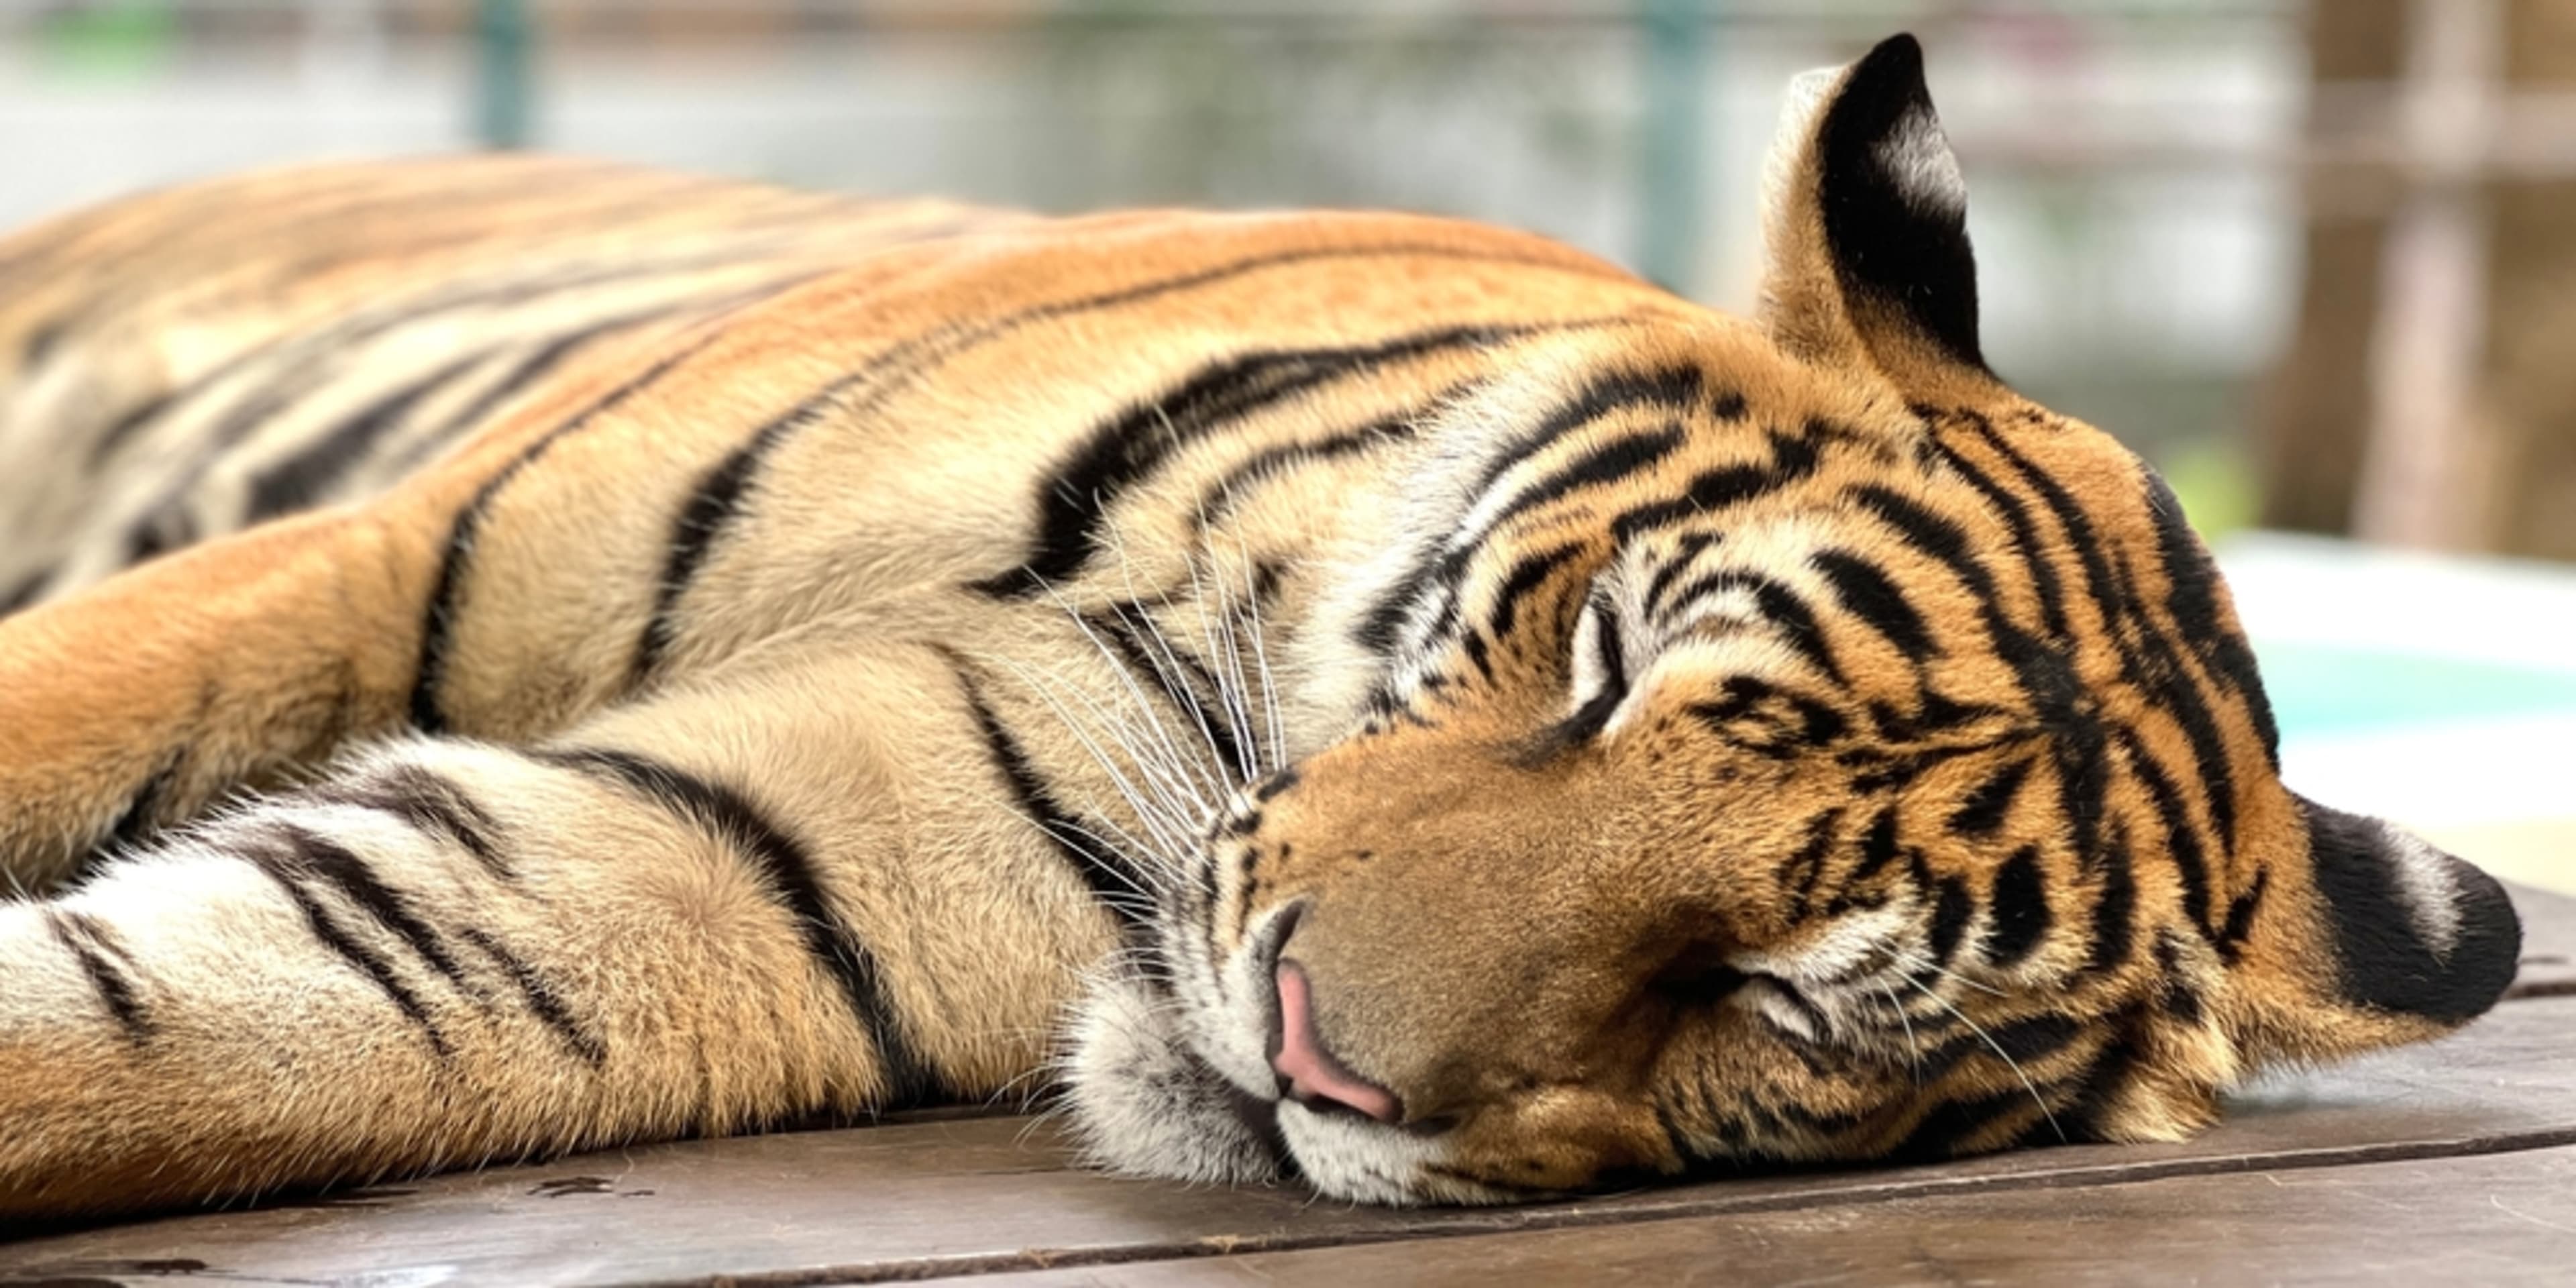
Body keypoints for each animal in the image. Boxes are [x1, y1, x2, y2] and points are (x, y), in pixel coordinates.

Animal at [0, 34, 2520, 1221]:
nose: (1313, 1055)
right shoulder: (382, 551)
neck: (1226, 660)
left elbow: (197, 1022)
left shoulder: (702, 882)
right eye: (1606, 664)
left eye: (1783, 1001)